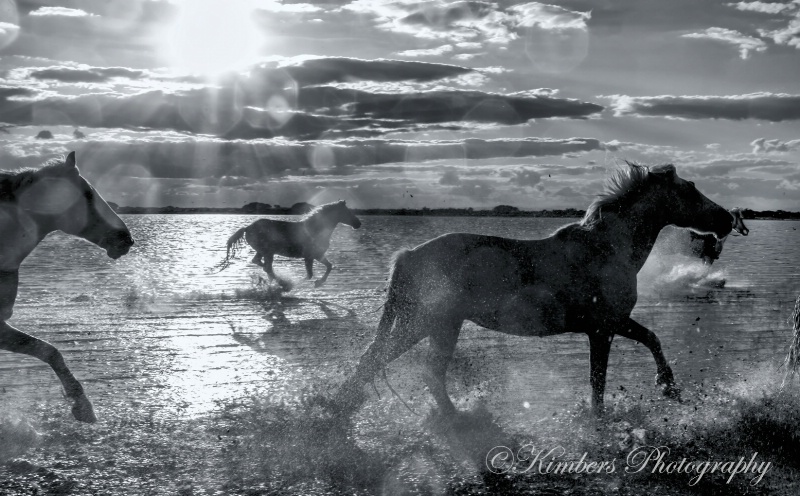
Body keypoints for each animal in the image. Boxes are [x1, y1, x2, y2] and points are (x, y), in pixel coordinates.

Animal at [0, 151, 134, 422]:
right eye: (88, 194)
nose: (126, 239)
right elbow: (48, 351)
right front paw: (82, 405)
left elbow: (49, 351)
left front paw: (82, 405)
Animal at [216, 201, 360, 288]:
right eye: (347, 212)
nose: (358, 224)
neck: (315, 229)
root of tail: (247, 228)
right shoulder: (309, 257)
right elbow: (309, 275)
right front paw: (301, 284)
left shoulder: (317, 255)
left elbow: (329, 266)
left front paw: (319, 282)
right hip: (268, 252)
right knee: (266, 267)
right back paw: (282, 283)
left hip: (263, 251)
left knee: (259, 262)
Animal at [332, 164, 744, 418]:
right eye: (690, 190)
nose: (727, 219)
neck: (608, 248)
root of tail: (407, 256)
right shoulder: (604, 327)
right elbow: (599, 379)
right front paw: (603, 416)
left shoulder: (613, 322)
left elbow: (651, 339)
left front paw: (668, 386)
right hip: (427, 322)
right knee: (384, 360)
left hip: (440, 326)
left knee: (420, 369)